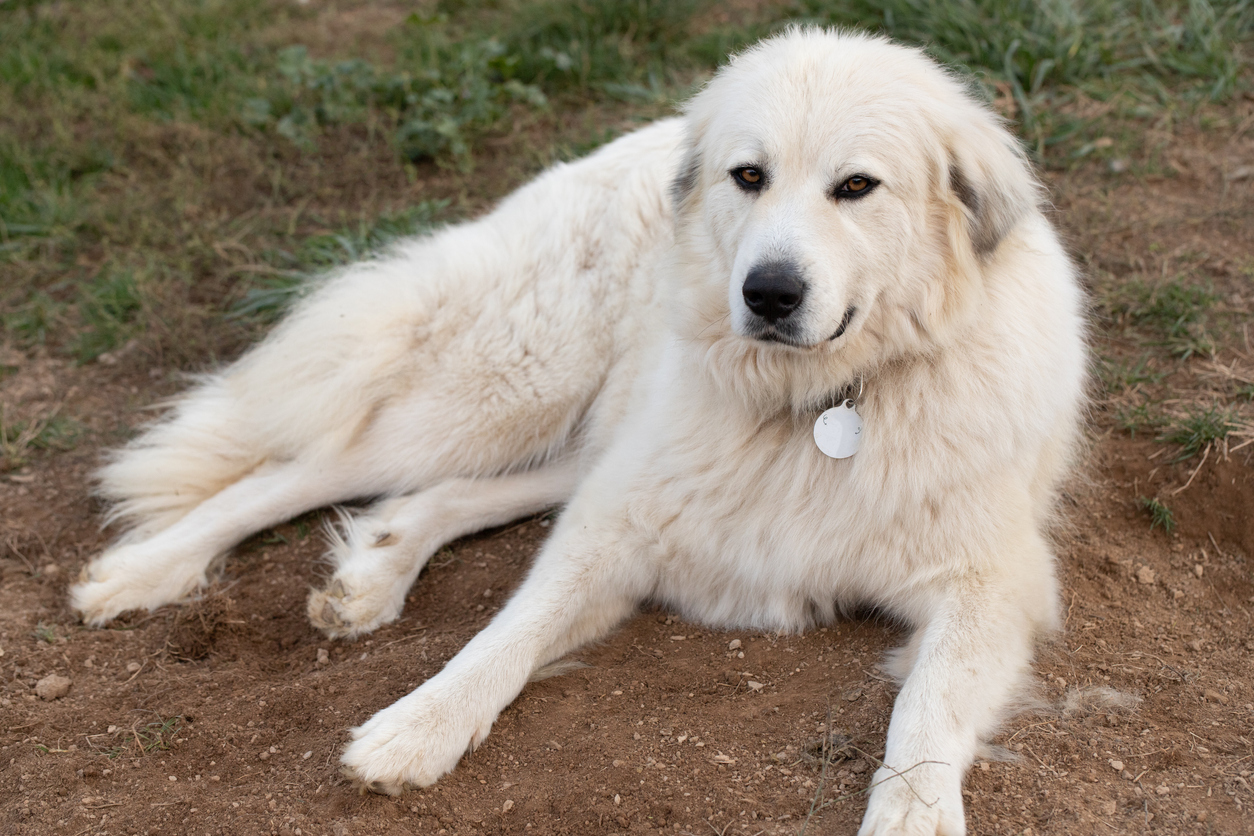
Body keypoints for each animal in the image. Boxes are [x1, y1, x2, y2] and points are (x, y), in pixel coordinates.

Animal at [71, 29, 1088, 832]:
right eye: (749, 176)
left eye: (857, 186)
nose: (767, 293)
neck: (824, 406)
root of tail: (631, 139)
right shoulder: (618, 522)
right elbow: (508, 632)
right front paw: (417, 725)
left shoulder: (992, 584)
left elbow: (927, 704)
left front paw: (914, 813)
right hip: (513, 391)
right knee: (312, 465)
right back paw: (142, 571)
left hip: (586, 430)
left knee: (441, 493)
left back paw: (374, 571)